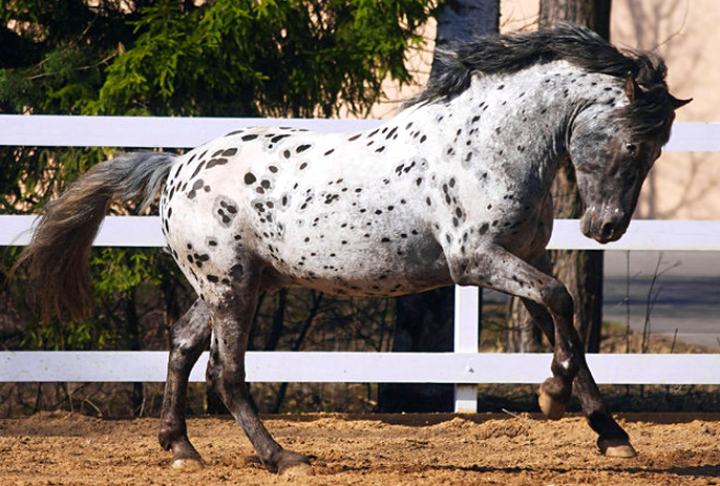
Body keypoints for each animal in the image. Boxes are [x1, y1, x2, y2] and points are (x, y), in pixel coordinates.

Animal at [16, 24, 688, 472]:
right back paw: (282, 457)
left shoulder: (522, 259)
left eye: (659, 150)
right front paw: (555, 400)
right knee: (226, 373)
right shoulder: (476, 261)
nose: (606, 229)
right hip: (232, 288)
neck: (488, 145)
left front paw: (608, 432)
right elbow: (562, 304)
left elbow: (564, 326)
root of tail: (177, 167)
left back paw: (182, 449)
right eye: (633, 145)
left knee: (182, 345)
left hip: (230, 284)